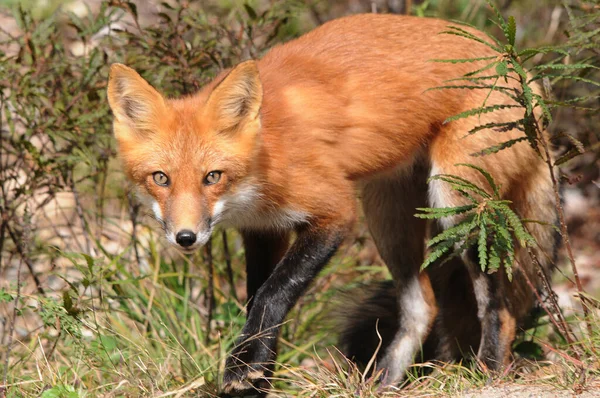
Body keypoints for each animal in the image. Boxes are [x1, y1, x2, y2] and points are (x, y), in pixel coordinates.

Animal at [106, 13, 556, 394]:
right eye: (160, 178)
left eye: (212, 177)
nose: (185, 238)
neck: (266, 153)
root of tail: (515, 63)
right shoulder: (263, 230)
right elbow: (260, 306)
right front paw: (258, 375)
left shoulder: (335, 210)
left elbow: (272, 296)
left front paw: (243, 366)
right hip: (389, 221)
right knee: (422, 309)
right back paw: (381, 385)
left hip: (457, 206)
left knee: (499, 307)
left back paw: (489, 374)